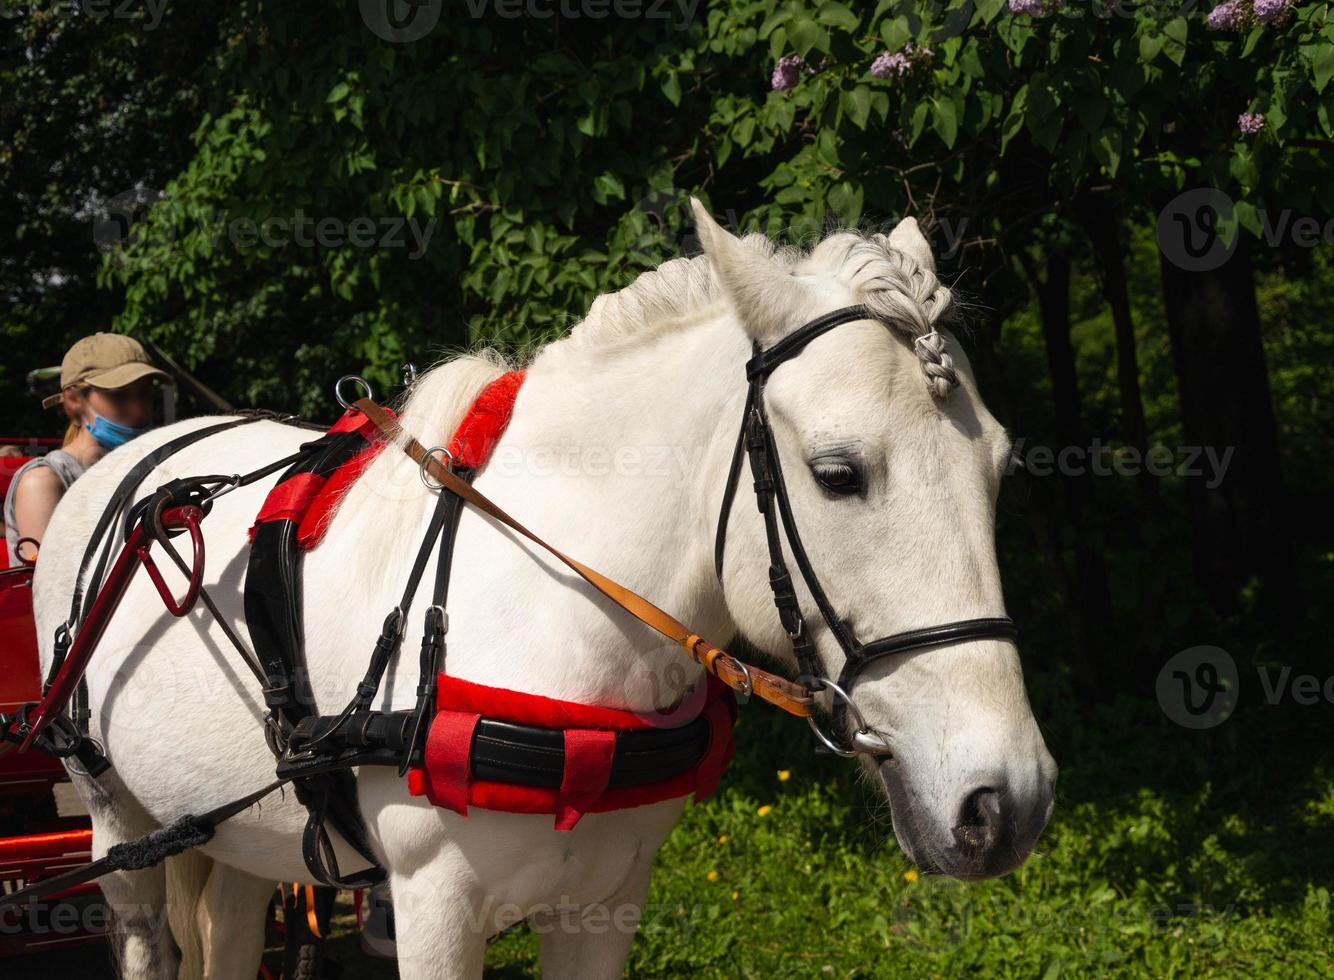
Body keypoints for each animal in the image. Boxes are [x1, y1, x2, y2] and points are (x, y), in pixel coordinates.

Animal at [31, 201, 1056, 980]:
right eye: (838, 474)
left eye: (1002, 466)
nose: (1006, 802)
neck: (560, 620)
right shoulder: (434, 909)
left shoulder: (606, 903)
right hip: (117, 821)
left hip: (236, 830)